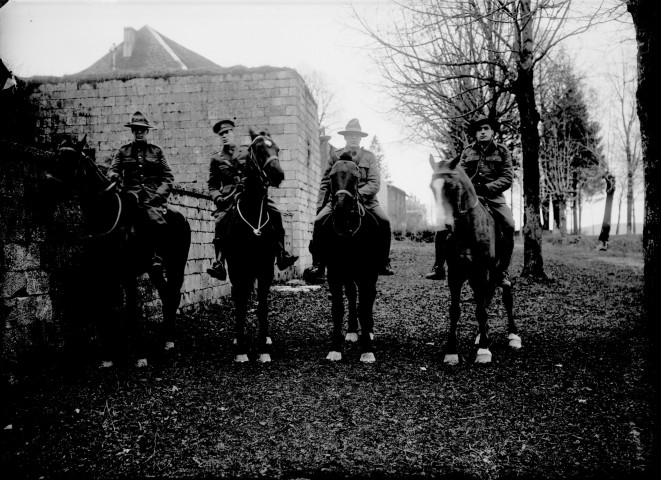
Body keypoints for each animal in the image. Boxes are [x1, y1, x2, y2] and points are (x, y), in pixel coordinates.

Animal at [45, 135, 191, 368]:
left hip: (175, 263)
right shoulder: (103, 274)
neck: (107, 215)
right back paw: (164, 338)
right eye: (56, 158)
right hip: (155, 270)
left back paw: (169, 340)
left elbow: (130, 311)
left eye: (70, 161)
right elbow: (106, 311)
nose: (47, 190)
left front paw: (139, 354)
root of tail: (181, 215)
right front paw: (108, 356)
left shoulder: (128, 274)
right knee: (166, 294)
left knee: (174, 294)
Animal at [223, 127, 284, 360]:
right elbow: (240, 305)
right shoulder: (237, 269)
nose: (278, 174)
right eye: (258, 149)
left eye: (277, 149)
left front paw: (263, 349)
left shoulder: (265, 268)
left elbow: (262, 306)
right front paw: (241, 350)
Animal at [316, 158, 378, 364]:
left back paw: (368, 332)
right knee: (351, 296)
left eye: (356, 177)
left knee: (368, 299)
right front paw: (335, 348)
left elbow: (364, 308)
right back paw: (351, 331)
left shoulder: (367, 276)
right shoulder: (334, 275)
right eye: (331, 176)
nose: (341, 207)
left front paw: (367, 350)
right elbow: (338, 309)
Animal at [428, 154, 520, 364]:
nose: (443, 227)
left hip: (496, 273)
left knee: (506, 296)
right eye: (431, 187)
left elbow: (480, 310)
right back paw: (482, 334)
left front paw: (484, 351)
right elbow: (455, 310)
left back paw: (513, 336)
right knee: (485, 299)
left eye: (452, 186)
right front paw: (451, 351)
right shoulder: (455, 274)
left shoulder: (482, 272)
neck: (466, 229)